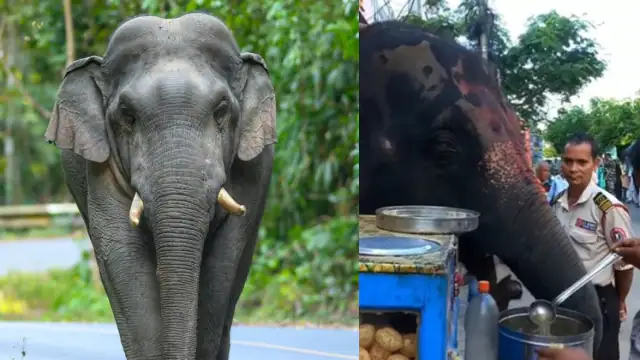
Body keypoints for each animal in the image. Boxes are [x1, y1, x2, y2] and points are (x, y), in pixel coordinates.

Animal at [43, 12, 278, 358]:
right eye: (127, 116)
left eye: (222, 110)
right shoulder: (100, 168)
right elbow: (122, 253)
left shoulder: (254, 168)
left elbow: (223, 262)